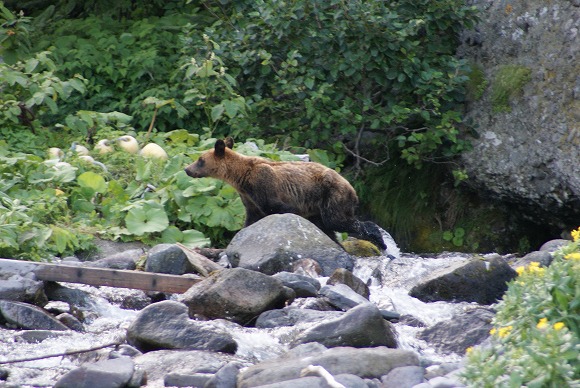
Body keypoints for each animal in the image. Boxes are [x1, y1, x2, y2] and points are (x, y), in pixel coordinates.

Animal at [185, 138, 386, 250]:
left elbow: (281, 209)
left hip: (332, 195)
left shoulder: (264, 187)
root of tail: (352, 188)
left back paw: (377, 238)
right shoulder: (249, 198)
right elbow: (251, 219)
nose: (187, 169)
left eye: (200, 160)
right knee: (326, 227)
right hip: (318, 207)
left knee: (337, 221)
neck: (241, 177)